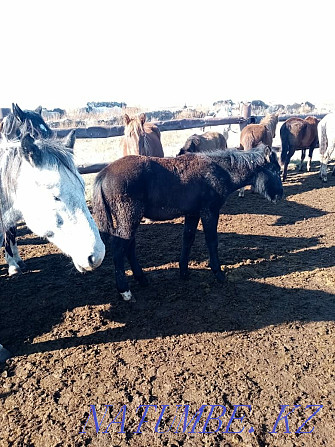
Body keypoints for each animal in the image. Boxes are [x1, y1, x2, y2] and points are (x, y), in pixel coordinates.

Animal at [92, 145, 284, 302]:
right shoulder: (209, 211)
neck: (219, 171)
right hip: (129, 217)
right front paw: (218, 273)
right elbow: (211, 240)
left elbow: (188, 239)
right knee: (119, 249)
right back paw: (125, 291)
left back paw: (142, 279)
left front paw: (183, 272)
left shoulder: (193, 213)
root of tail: (103, 174)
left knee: (129, 247)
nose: (279, 195)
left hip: (130, 219)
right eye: (275, 170)